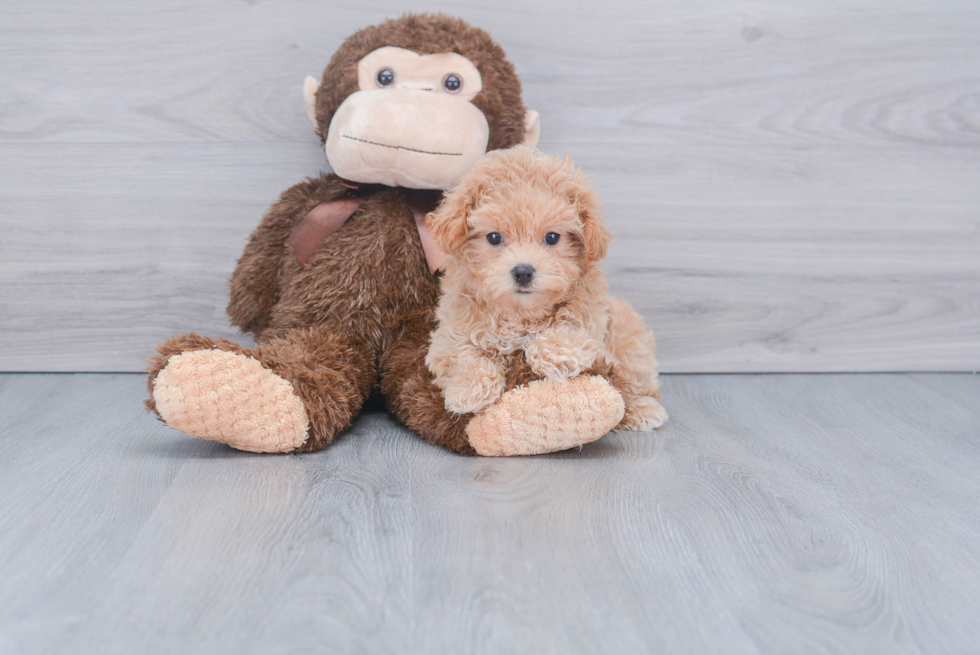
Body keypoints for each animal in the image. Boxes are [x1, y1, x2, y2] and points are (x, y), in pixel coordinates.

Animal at [426, 147, 668, 434]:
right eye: (494, 237)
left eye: (552, 237)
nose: (523, 271)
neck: (520, 315)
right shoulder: (447, 336)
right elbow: (462, 354)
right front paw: (469, 389)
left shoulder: (593, 321)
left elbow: (568, 330)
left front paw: (554, 354)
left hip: (628, 338)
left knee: (634, 383)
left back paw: (644, 410)